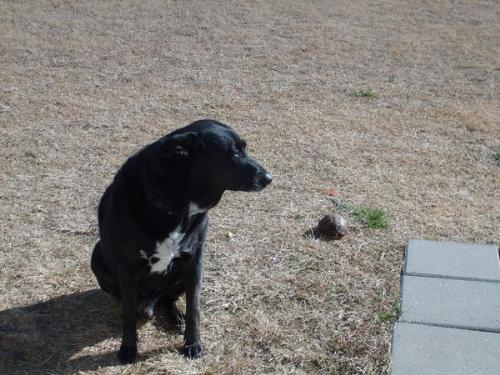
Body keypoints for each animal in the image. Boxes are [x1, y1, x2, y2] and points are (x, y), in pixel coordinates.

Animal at [90, 119, 270, 364]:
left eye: (244, 148)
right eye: (234, 152)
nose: (269, 177)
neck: (174, 207)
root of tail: (150, 303)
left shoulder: (195, 262)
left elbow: (194, 308)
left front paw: (192, 343)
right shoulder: (127, 269)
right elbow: (127, 313)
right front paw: (128, 347)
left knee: (168, 299)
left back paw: (175, 316)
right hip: (97, 257)